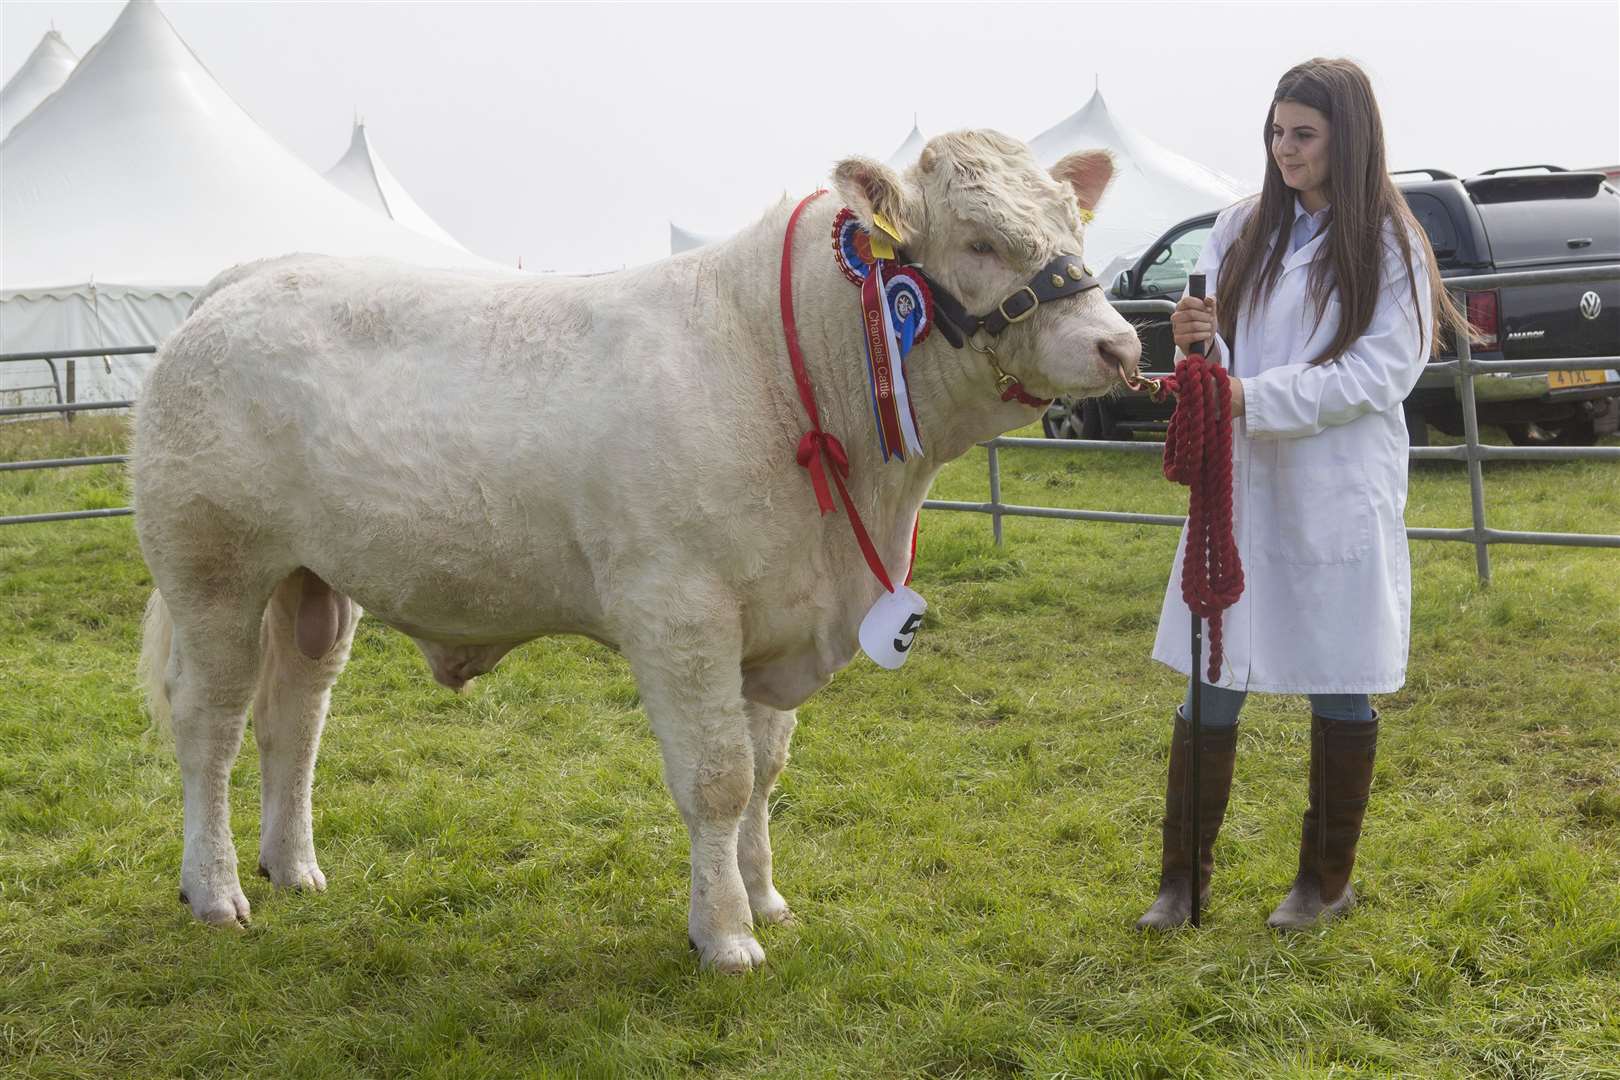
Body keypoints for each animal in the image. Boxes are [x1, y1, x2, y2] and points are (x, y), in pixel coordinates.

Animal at [136, 131, 1140, 977]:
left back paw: (293, 865)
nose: (1122, 344)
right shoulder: (680, 612)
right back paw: (217, 890)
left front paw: (764, 897)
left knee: (295, 717)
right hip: (212, 572)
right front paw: (725, 935)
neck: (779, 368)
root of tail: (249, 277)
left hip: (311, 586)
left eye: (1070, 224)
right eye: (979, 240)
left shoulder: (771, 619)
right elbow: (719, 779)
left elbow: (765, 768)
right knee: (211, 724)